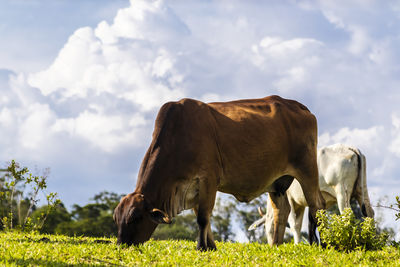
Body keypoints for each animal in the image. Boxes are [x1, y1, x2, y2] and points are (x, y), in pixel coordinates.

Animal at [112, 96, 324, 251]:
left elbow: (203, 217)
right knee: (281, 212)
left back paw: (316, 243)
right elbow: (202, 216)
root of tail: (300, 106)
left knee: (315, 205)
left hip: (308, 170)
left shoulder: (208, 179)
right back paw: (275, 246)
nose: (122, 245)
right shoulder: (193, 187)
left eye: (136, 218)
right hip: (277, 183)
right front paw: (211, 246)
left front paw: (201, 247)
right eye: (116, 219)